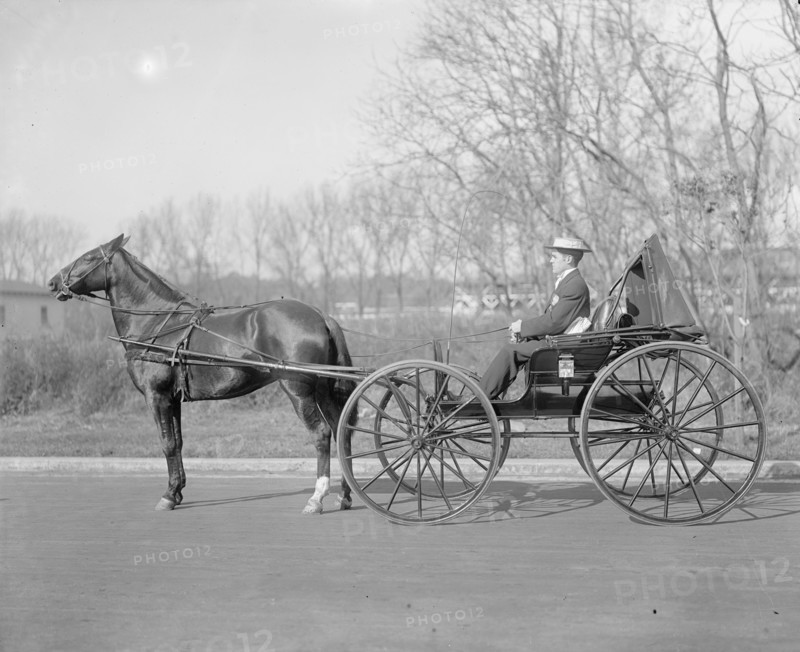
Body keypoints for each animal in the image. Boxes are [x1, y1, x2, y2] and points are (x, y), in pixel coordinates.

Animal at [48, 234, 355, 514]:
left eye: (88, 257)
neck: (159, 323)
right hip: (323, 390)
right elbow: (178, 443)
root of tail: (320, 315)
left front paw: (168, 496)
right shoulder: (172, 399)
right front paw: (177, 490)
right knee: (342, 432)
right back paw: (345, 495)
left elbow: (167, 443)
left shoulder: (156, 396)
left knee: (321, 433)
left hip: (298, 389)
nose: (52, 282)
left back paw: (317, 497)